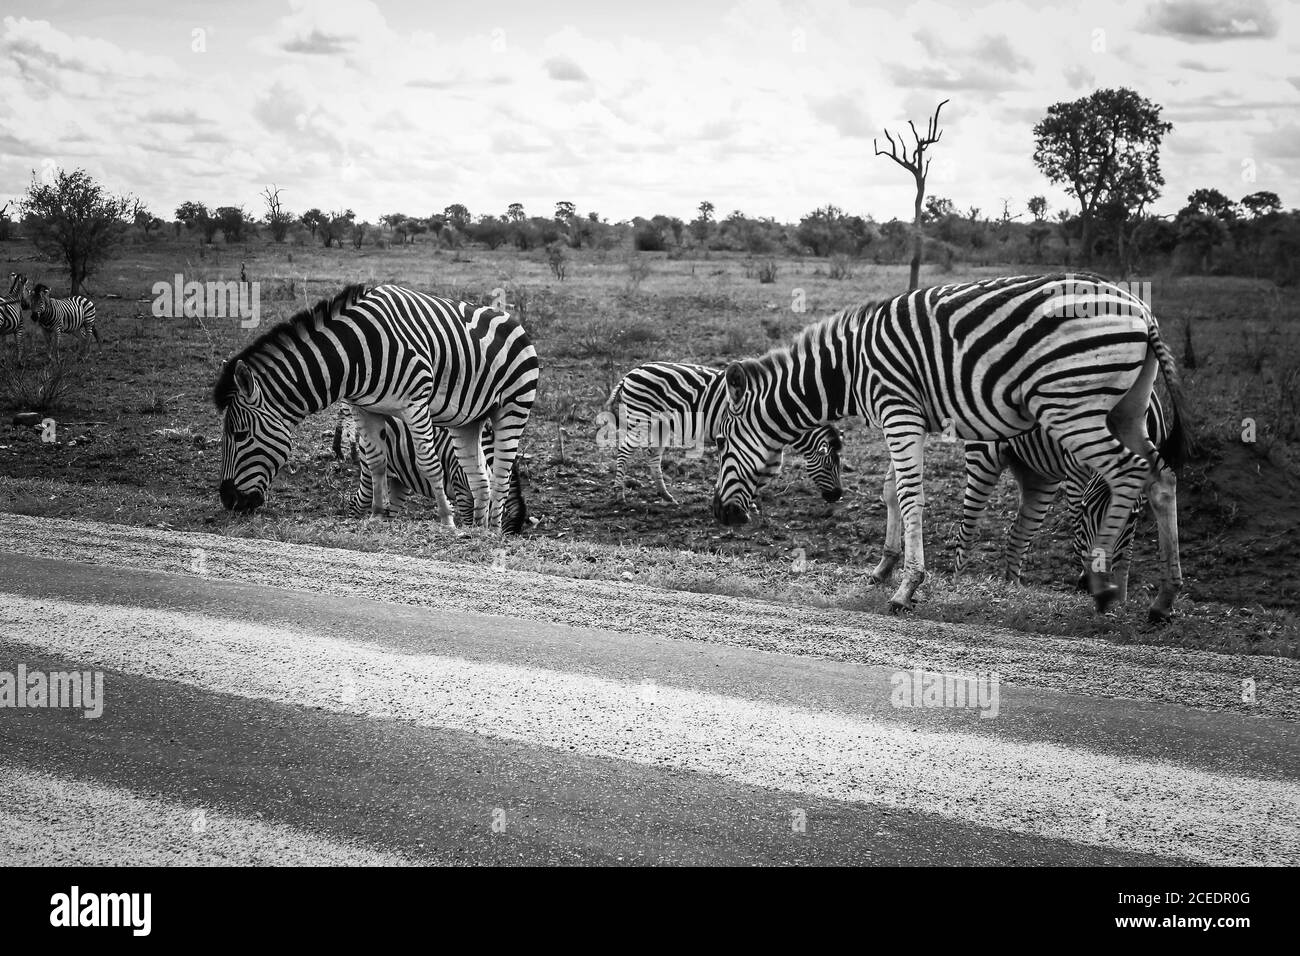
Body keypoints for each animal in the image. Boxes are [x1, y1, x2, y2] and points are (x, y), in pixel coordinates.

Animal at [332, 405, 530, 535]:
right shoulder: (461, 489)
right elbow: (468, 520)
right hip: (369, 473)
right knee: (356, 502)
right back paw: (353, 525)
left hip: (400, 482)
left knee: (390, 510)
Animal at [603, 361, 847, 509]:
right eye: (829, 465)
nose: (837, 496)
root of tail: (631, 373)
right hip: (640, 419)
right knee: (624, 451)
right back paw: (619, 494)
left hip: (658, 424)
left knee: (654, 456)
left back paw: (666, 496)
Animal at [956, 392, 1180, 600]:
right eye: (1085, 508)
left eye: (1131, 517)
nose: (1089, 584)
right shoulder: (1075, 474)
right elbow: (1080, 534)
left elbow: (1126, 553)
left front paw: (1120, 602)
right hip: (983, 457)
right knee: (965, 532)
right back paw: (961, 586)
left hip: (1039, 477)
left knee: (1017, 534)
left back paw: (1013, 591)